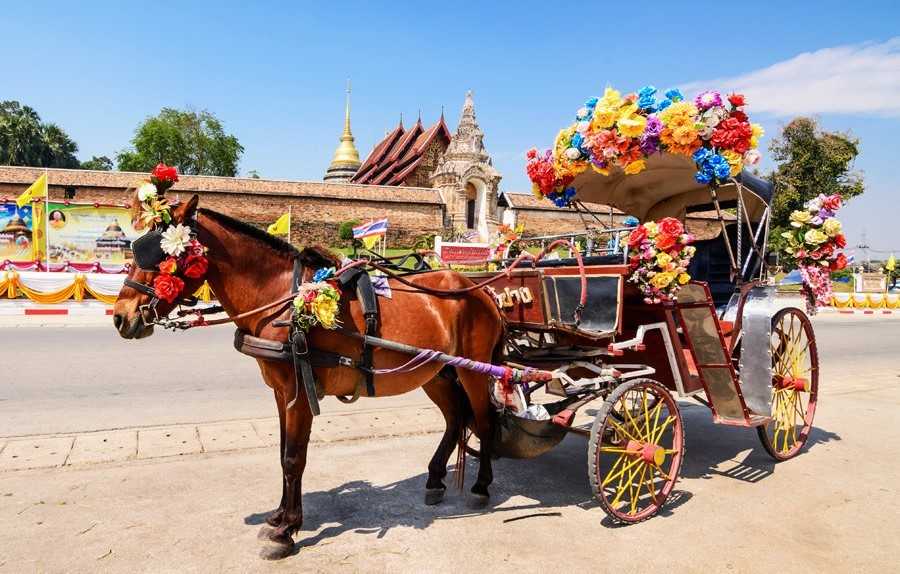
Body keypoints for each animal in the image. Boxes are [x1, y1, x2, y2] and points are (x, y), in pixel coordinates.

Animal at [112, 196, 506, 560]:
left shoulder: (299, 391)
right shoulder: (280, 391)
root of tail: (480, 289)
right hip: (435, 372)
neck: (282, 300)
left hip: (473, 369)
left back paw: (482, 486)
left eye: (160, 257)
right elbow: (283, 453)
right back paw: (436, 478)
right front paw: (278, 516)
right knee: (455, 418)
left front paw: (286, 531)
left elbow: (293, 458)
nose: (120, 316)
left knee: (484, 420)